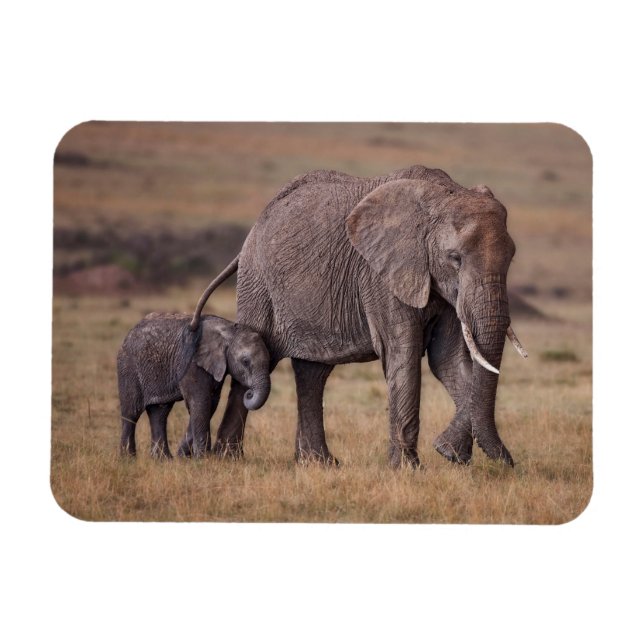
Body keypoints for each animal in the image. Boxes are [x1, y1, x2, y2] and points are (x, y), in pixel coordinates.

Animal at [117, 312, 271, 458]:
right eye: (245, 361)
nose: (249, 393)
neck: (229, 331)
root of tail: (128, 334)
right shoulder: (191, 363)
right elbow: (201, 402)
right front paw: (203, 458)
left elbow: (210, 404)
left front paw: (185, 456)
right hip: (128, 367)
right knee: (131, 412)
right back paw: (128, 459)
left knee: (159, 412)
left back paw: (163, 459)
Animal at [190, 165, 526, 468]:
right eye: (454, 258)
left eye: (512, 258)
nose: (510, 465)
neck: (444, 194)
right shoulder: (380, 276)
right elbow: (403, 354)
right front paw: (408, 469)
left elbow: (447, 360)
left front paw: (453, 455)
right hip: (257, 283)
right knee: (256, 355)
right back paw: (228, 458)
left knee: (313, 373)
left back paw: (318, 464)